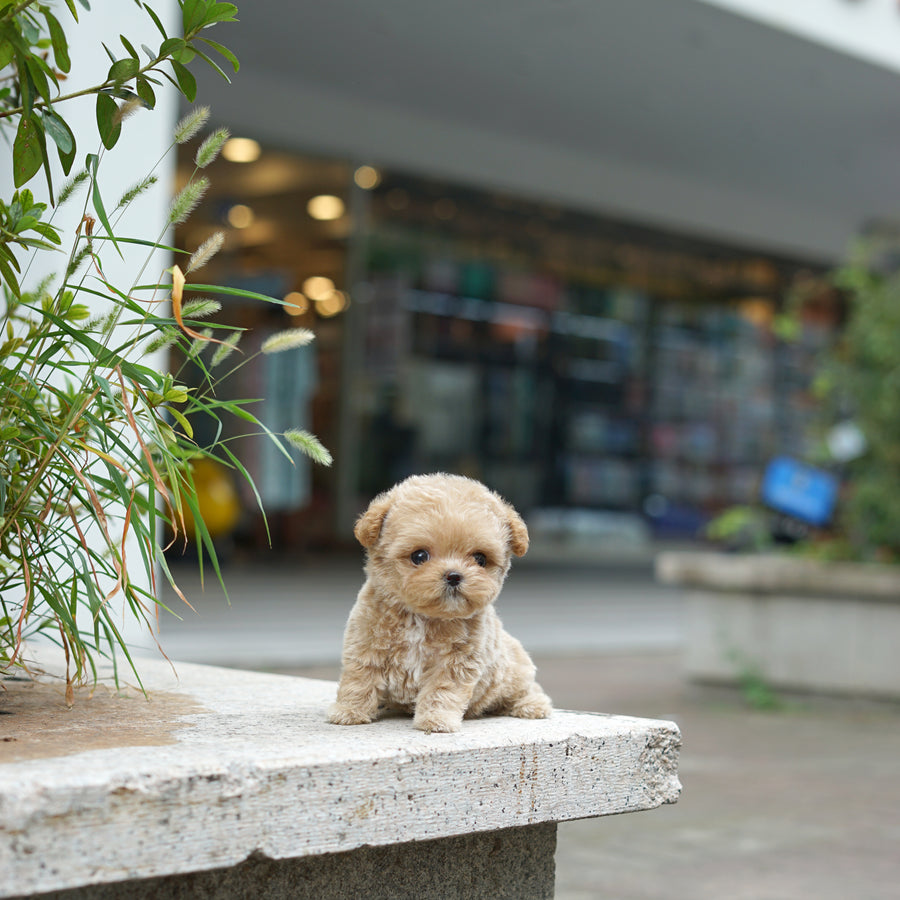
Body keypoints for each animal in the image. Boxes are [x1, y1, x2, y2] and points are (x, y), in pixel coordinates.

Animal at [326, 472, 552, 732]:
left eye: (480, 559)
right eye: (419, 556)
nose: (454, 575)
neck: (421, 617)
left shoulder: (455, 663)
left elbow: (442, 691)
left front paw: (436, 720)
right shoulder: (365, 645)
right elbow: (359, 680)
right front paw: (349, 711)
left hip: (514, 672)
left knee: (528, 688)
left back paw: (533, 705)